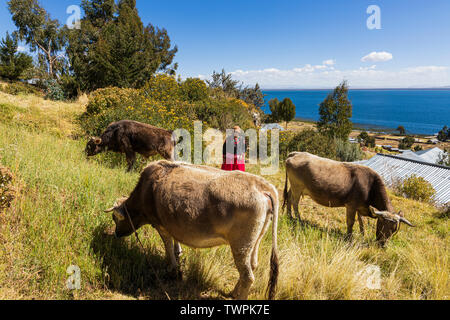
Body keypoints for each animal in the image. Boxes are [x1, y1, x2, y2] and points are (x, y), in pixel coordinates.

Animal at [106, 161, 282, 298]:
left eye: (114, 218)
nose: (116, 234)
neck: (146, 190)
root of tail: (262, 186)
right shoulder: (172, 224)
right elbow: (175, 244)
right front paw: (178, 255)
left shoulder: (161, 226)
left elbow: (168, 246)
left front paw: (172, 269)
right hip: (255, 240)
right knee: (253, 265)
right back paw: (233, 292)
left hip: (241, 244)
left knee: (247, 276)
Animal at [284, 152, 414, 245]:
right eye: (381, 224)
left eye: (394, 230)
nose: (382, 245)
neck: (370, 185)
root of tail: (296, 153)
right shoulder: (351, 205)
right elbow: (351, 222)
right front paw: (349, 238)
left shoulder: (360, 206)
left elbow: (361, 222)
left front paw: (362, 235)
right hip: (297, 187)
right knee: (295, 202)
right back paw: (299, 220)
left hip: (294, 187)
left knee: (289, 198)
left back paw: (289, 216)